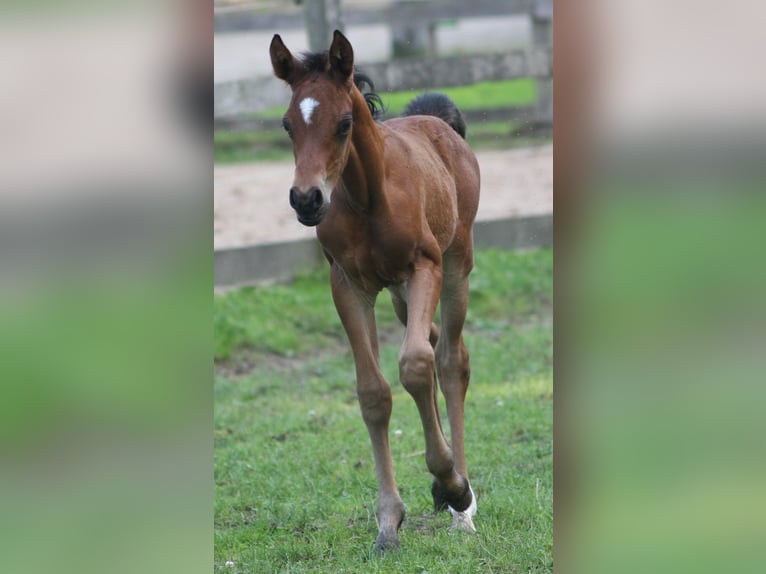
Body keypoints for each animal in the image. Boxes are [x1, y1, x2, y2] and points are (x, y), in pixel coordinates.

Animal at [270, 29, 480, 552]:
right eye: (287, 125)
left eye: (344, 123)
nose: (306, 200)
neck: (368, 198)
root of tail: (437, 121)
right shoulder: (347, 284)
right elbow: (373, 391)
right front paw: (389, 521)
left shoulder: (424, 265)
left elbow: (416, 366)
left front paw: (453, 484)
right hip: (402, 295)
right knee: (431, 344)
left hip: (455, 265)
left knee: (450, 360)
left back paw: (461, 504)